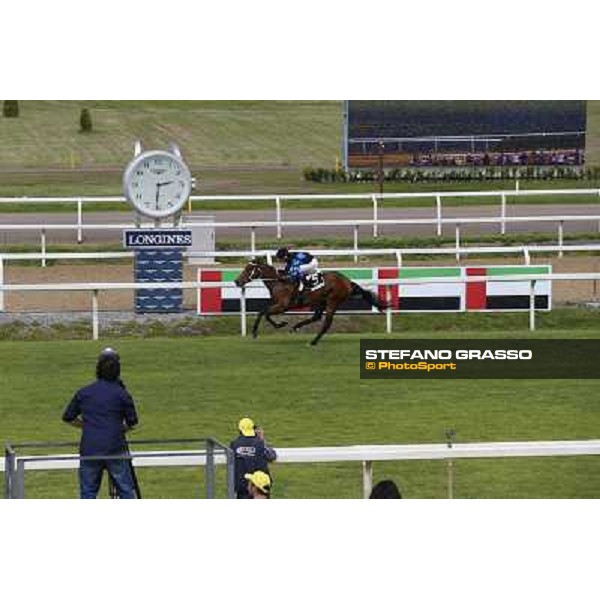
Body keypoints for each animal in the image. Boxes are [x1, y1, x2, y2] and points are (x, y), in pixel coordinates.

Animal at [234, 258, 384, 346]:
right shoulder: (275, 304)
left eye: (248, 269)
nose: (237, 282)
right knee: (316, 317)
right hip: (320, 301)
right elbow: (262, 312)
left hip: (332, 301)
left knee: (326, 323)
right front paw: (258, 331)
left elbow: (265, 313)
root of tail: (347, 282)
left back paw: (313, 341)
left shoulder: (283, 306)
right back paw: (296, 327)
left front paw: (278, 325)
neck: (279, 282)